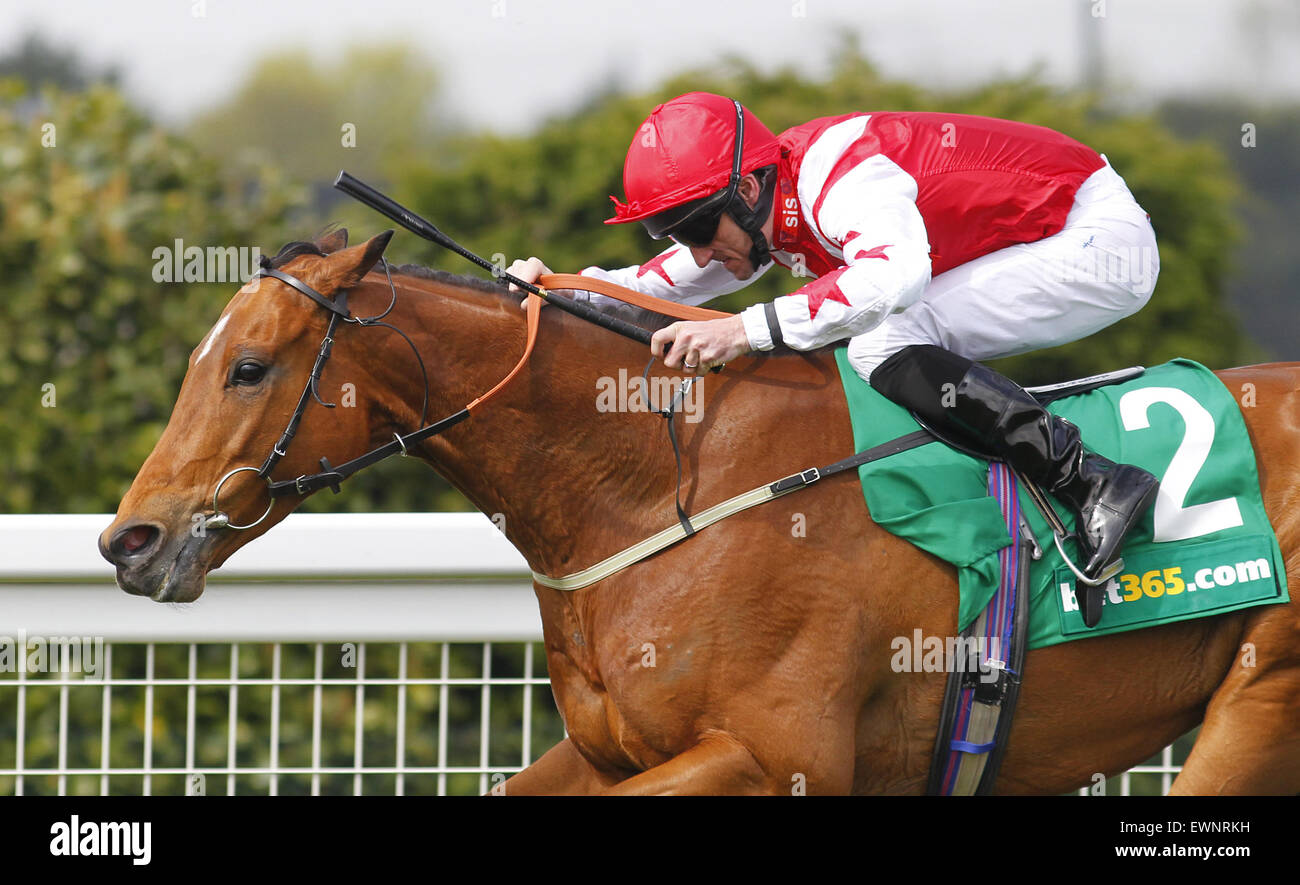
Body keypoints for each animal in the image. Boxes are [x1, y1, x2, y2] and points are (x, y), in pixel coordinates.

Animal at [96, 227, 1294, 795]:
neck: (660, 489)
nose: (128, 540)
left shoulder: (776, 756)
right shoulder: (613, 751)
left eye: (248, 368)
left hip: (1262, 696)